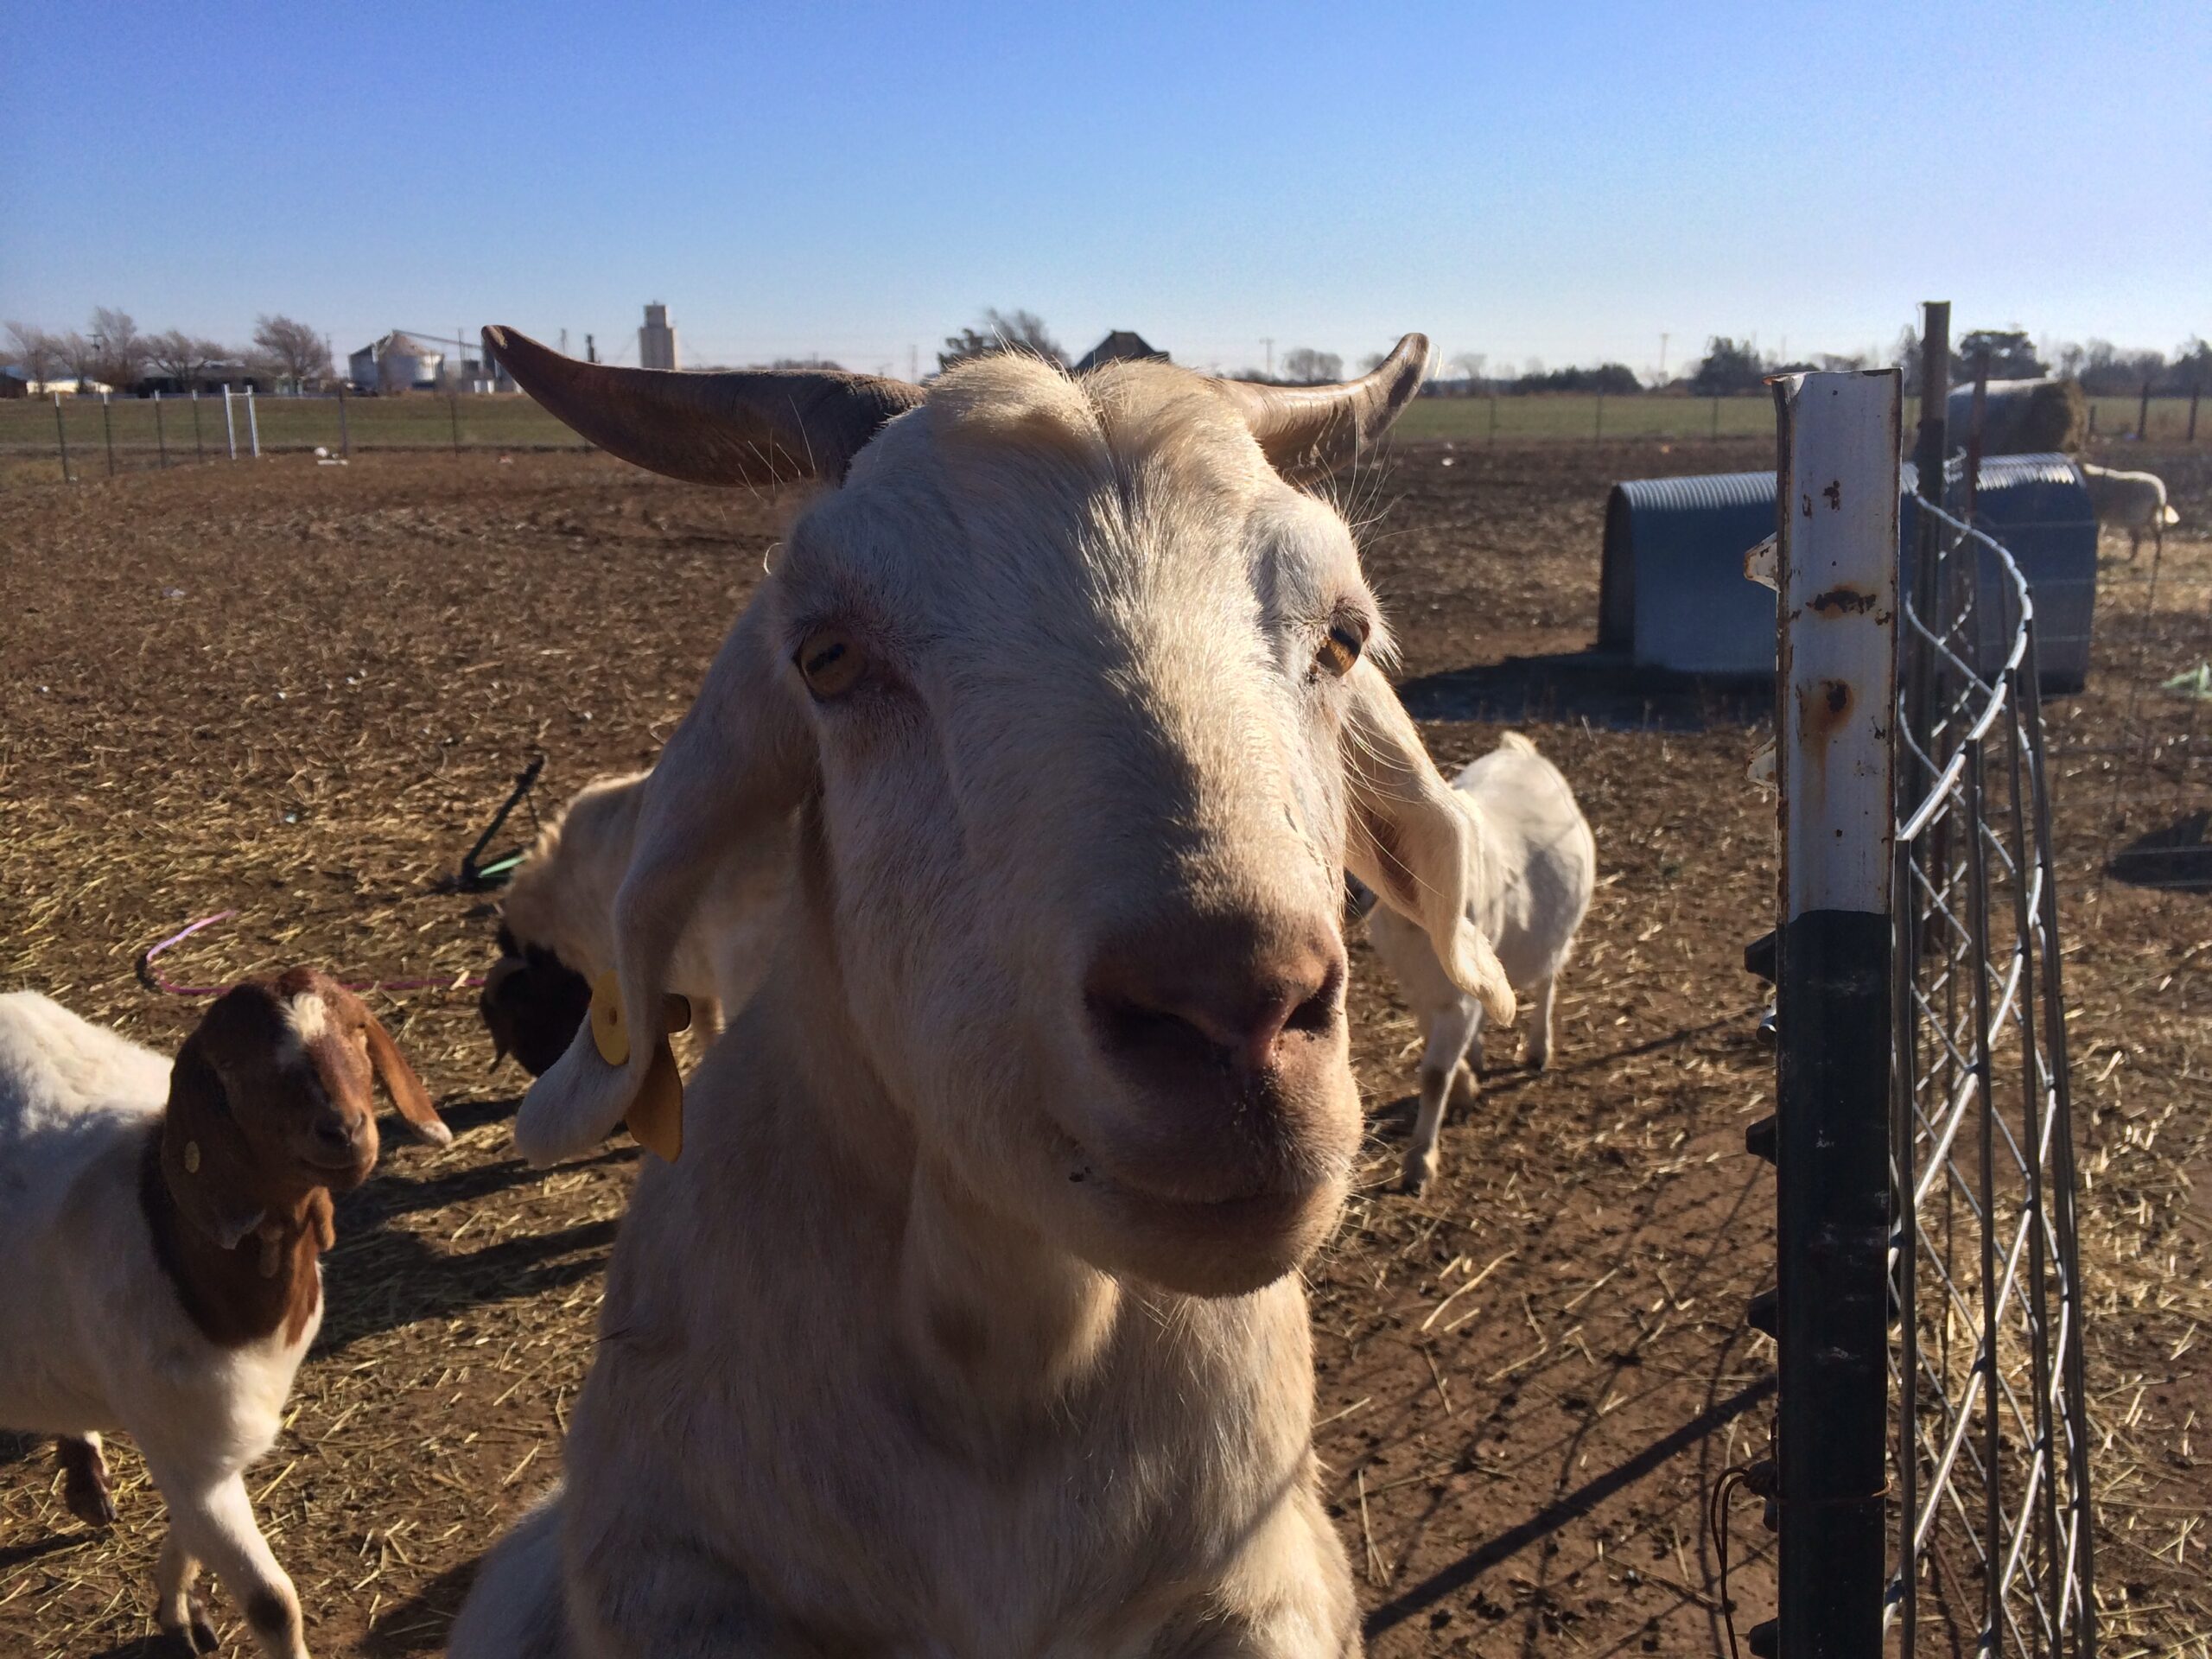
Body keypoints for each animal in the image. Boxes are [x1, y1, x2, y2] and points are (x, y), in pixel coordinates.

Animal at [0, 971, 448, 1658]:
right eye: (234, 1065)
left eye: (355, 1029)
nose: (344, 1131)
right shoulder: (187, 1442)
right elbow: (271, 1603)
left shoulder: (212, 1440)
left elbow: (191, 1531)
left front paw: (176, 1607)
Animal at [1368, 733, 1596, 1195]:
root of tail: (1519, 749)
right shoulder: (1418, 986)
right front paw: (1465, 1087)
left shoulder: (1454, 993)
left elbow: (1434, 1073)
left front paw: (1419, 1164)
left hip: (1557, 931)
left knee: (1547, 980)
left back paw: (1538, 1049)